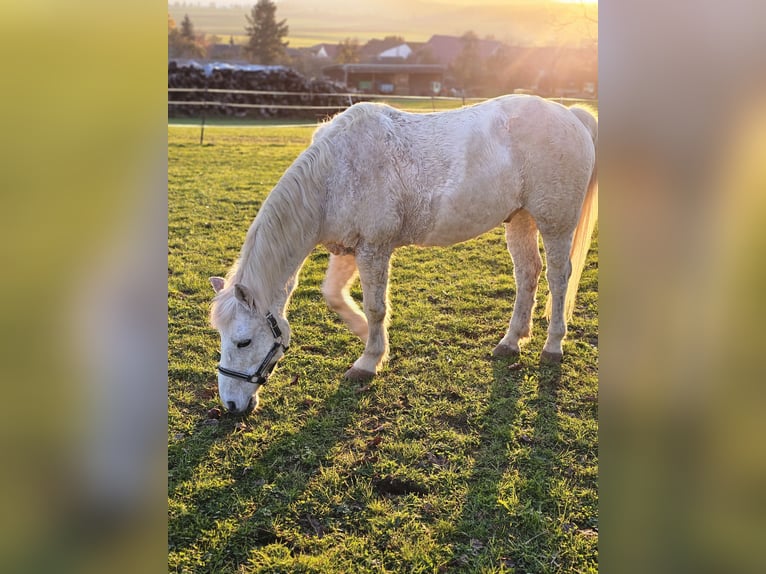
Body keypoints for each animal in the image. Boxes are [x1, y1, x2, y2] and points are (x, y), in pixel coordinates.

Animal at [208, 95, 600, 414]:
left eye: (243, 341)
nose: (230, 405)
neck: (334, 175)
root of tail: (571, 115)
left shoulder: (374, 249)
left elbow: (376, 307)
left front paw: (369, 360)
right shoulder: (349, 249)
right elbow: (334, 295)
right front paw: (366, 337)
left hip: (555, 223)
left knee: (558, 278)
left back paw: (553, 345)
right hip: (520, 219)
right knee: (528, 273)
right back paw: (511, 341)